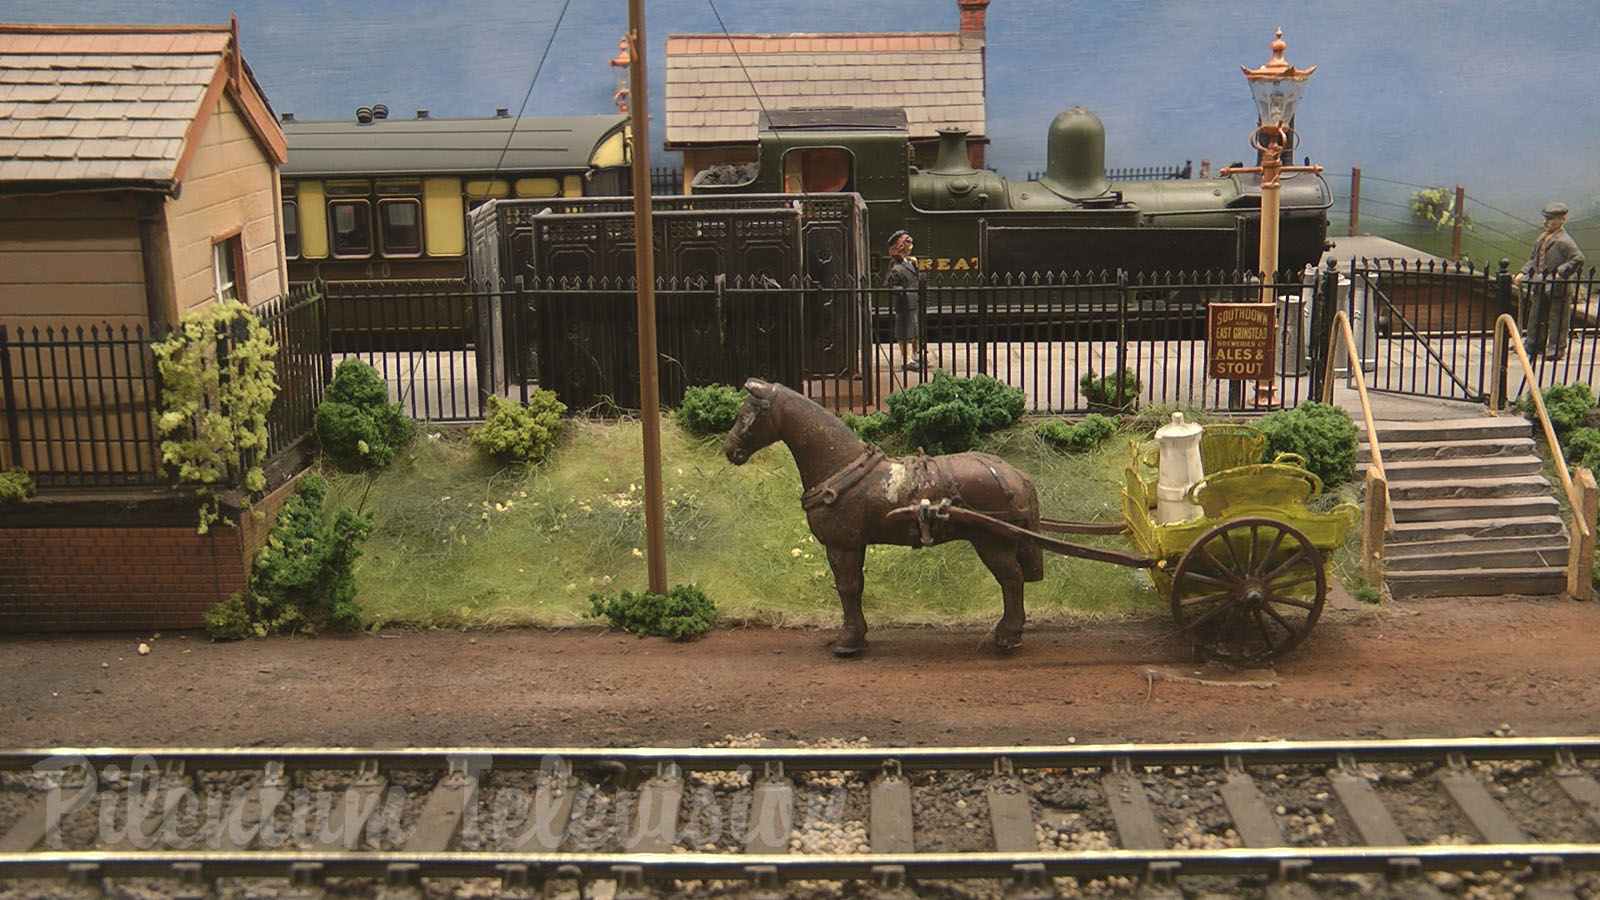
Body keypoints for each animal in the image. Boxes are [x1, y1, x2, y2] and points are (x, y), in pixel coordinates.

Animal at [726, 374, 1049, 656]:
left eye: (746, 414)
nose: (730, 449)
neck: (842, 467)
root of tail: (1015, 475)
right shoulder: (854, 545)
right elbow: (855, 587)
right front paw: (857, 636)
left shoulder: (842, 546)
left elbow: (847, 587)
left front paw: (848, 641)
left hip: (993, 541)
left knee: (1011, 579)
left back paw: (1007, 636)